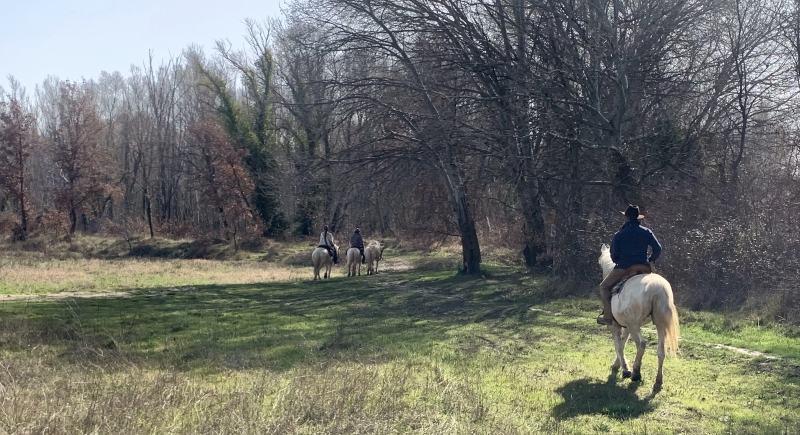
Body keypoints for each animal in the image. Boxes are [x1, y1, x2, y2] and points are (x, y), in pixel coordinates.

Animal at [596, 242, 680, 392]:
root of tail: (657, 288)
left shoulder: (615, 325)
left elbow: (618, 345)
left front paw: (625, 369)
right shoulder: (626, 326)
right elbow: (623, 343)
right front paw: (618, 365)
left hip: (634, 326)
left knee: (641, 344)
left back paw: (636, 373)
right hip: (659, 325)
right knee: (661, 351)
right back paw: (658, 382)